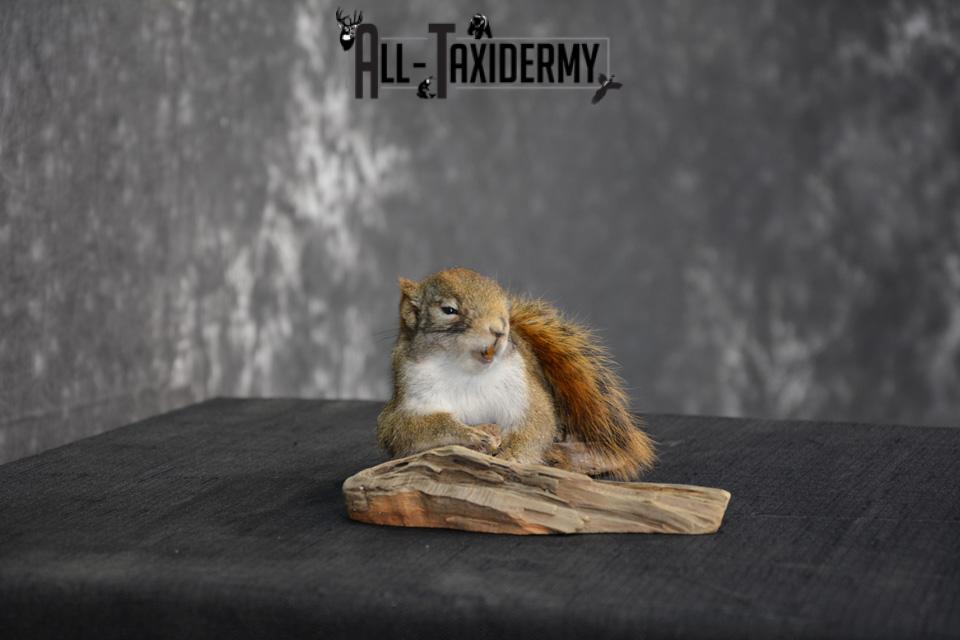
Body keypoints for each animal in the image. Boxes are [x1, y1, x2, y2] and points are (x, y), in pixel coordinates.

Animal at [376, 267, 656, 480]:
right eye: (448, 310)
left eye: (505, 306)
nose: (500, 329)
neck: (465, 369)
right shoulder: (409, 397)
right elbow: (415, 428)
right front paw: (474, 435)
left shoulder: (524, 389)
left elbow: (537, 421)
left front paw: (512, 457)